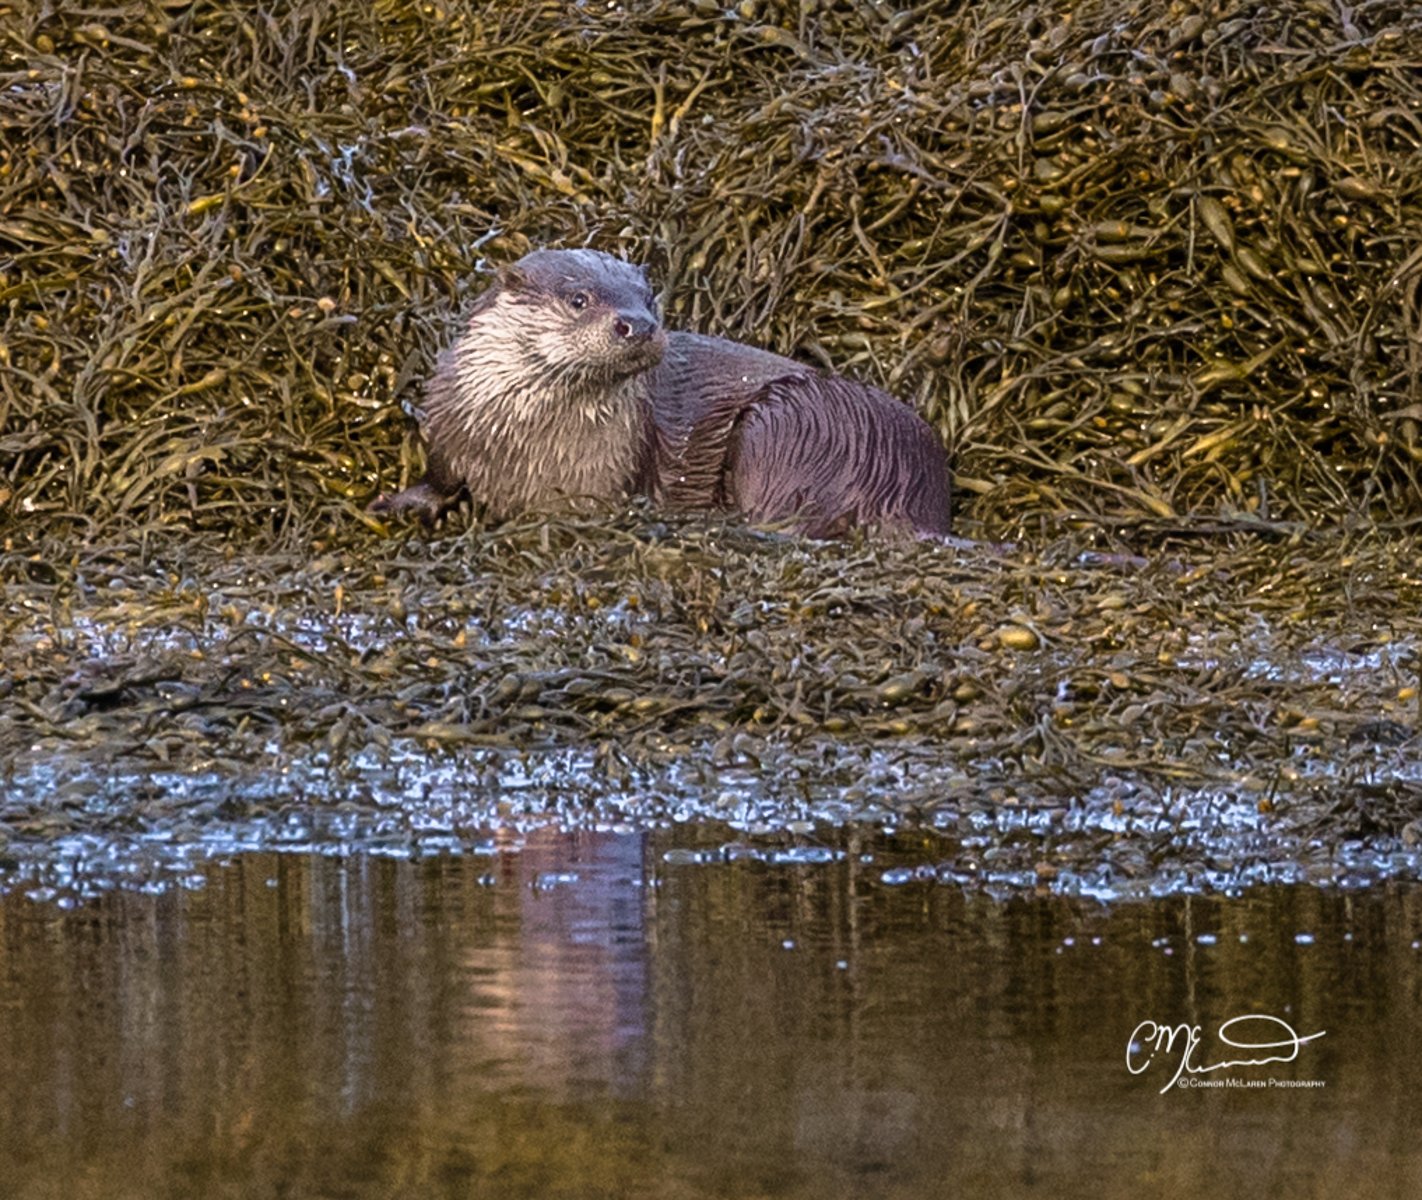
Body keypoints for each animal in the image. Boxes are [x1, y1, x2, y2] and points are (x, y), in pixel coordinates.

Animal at [371, 248, 951, 538]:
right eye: (580, 299)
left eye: (649, 297)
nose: (639, 325)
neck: (526, 443)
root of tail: (908, 487)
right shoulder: (453, 421)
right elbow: (441, 473)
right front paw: (408, 502)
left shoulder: (605, 478)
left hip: (787, 422)